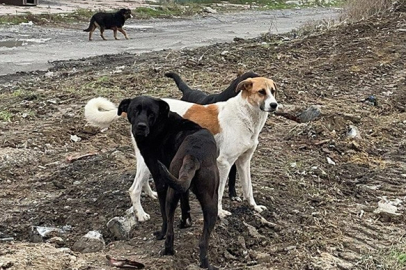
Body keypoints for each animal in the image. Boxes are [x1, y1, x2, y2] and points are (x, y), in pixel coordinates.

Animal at [117, 97, 219, 270]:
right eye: (135, 110)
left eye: (151, 113)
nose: (141, 127)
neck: (160, 125)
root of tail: (194, 154)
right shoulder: (180, 183)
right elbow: (185, 202)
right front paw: (185, 222)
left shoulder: (160, 179)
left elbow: (164, 214)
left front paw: (161, 232)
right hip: (210, 202)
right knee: (203, 241)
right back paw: (203, 262)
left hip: (171, 191)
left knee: (169, 224)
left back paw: (167, 245)